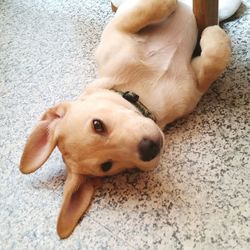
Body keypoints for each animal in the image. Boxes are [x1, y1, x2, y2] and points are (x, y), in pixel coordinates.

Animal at [19, 0, 230, 238]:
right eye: (107, 166)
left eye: (97, 124)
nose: (149, 149)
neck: (142, 93)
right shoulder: (195, 85)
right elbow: (213, 60)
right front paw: (214, 33)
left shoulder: (120, 28)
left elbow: (148, 9)